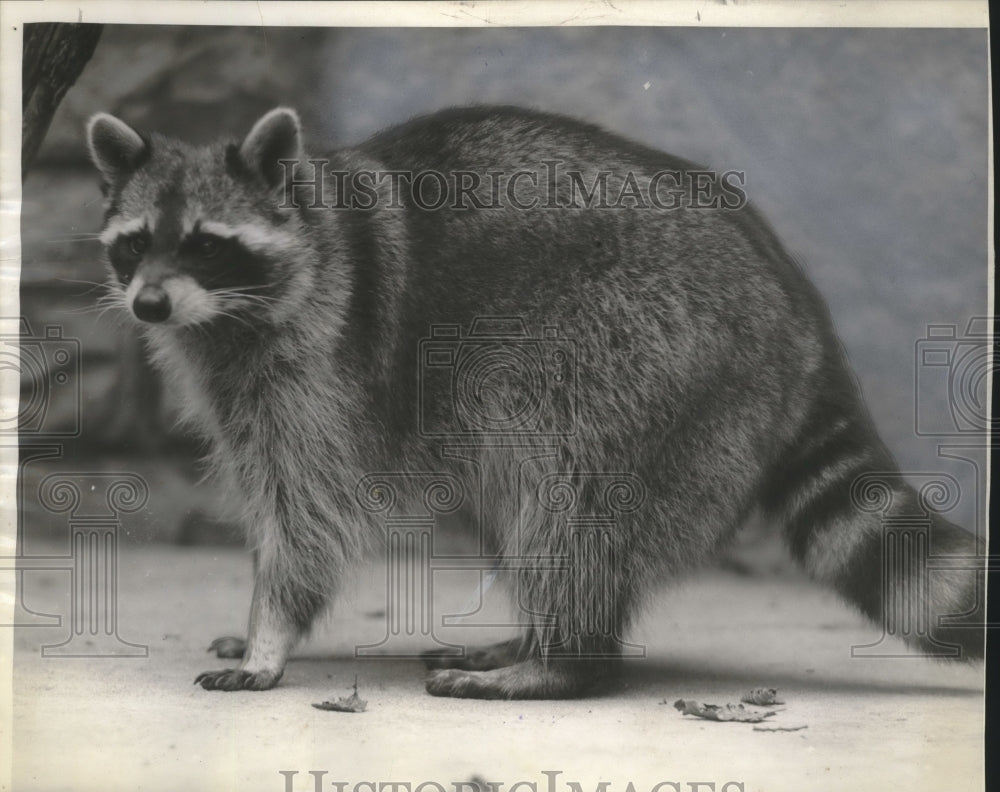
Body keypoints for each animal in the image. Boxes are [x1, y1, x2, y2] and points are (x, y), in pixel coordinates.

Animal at [85, 105, 984, 699]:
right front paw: (257, 620)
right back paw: (537, 636)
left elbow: (307, 513)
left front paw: (272, 632)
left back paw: (564, 659)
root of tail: (800, 312)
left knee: (568, 504)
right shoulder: (237, 380)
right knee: (512, 504)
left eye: (206, 245)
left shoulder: (323, 370)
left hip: (641, 361)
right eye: (135, 244)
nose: (149, 306)